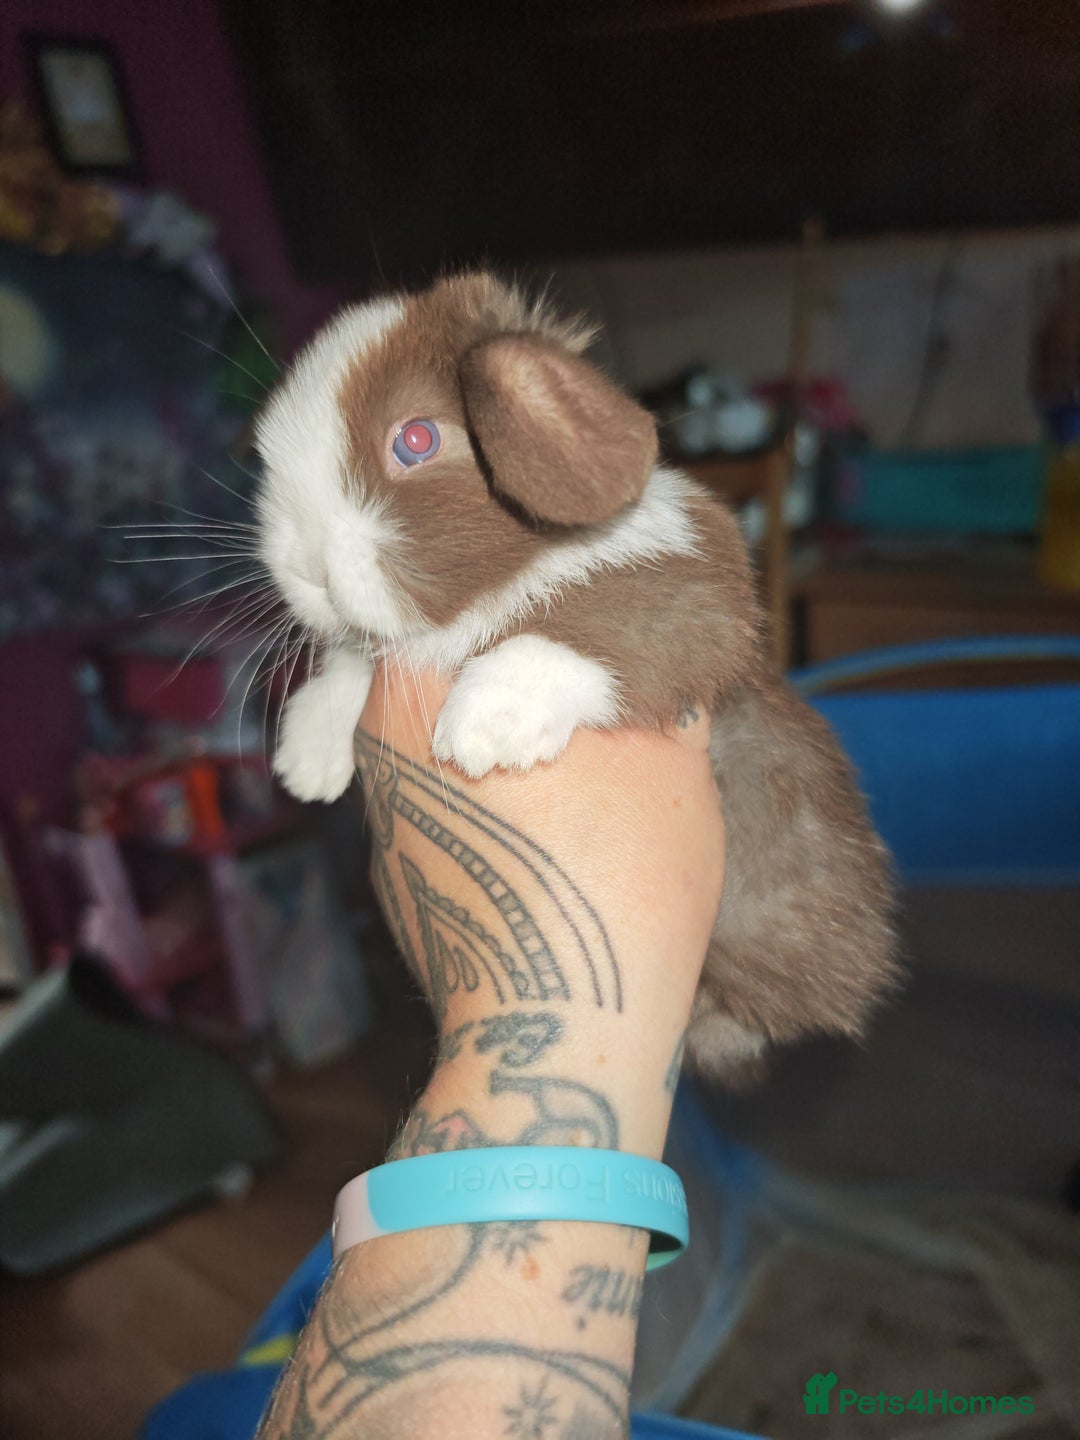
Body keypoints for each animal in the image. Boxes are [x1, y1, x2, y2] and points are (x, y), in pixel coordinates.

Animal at [253, 271, 898, 1083]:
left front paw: (485, 721)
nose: (303, 568)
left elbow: (601, 622)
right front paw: (306, 754)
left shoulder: (703, 596)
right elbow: (359, 660)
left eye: (417, 439)